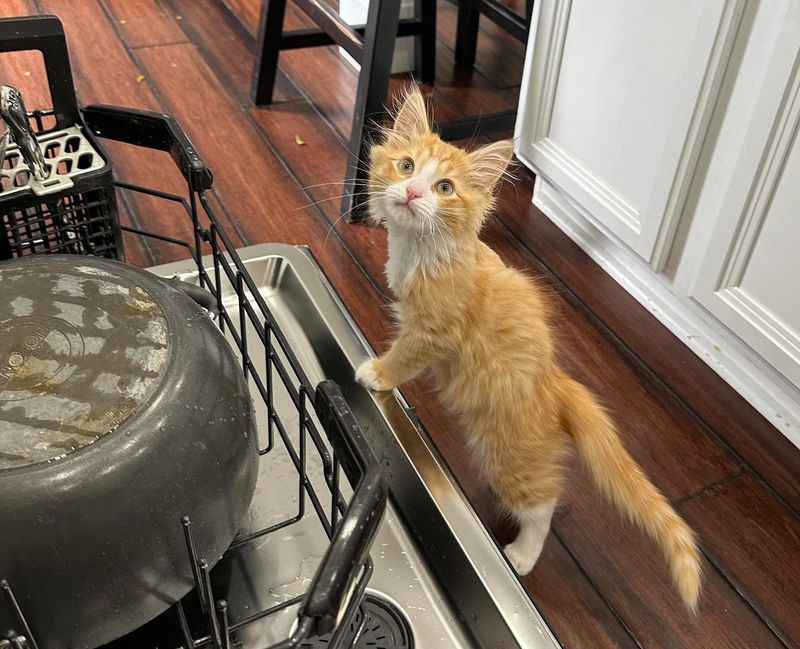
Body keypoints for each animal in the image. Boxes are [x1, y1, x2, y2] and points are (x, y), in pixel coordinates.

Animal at [356, 87, 700, 612]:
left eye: (445, 188)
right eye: (406, 165)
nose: (413, 193)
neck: (423, 250)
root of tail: (557, 385)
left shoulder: (436, 333)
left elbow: (405, 356)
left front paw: (377, 373)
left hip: (509, 454)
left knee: (544, 503)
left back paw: (521, 554)